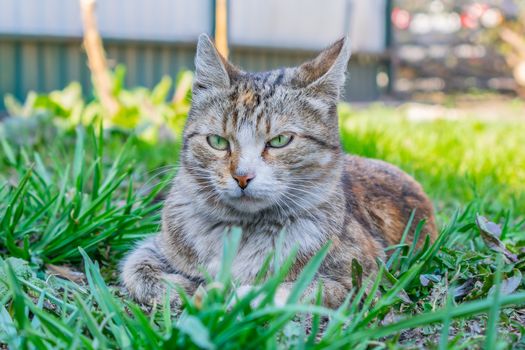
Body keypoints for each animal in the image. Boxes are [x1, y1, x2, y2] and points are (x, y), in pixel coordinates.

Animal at [121, 34, 436, 308]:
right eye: (218, 142)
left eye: (280, 140)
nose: (242, 176)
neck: (242, 230)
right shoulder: (159, 246)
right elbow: (135, 269)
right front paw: (187, 287)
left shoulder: (361, 279)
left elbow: (285, 289)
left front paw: (224, 295)